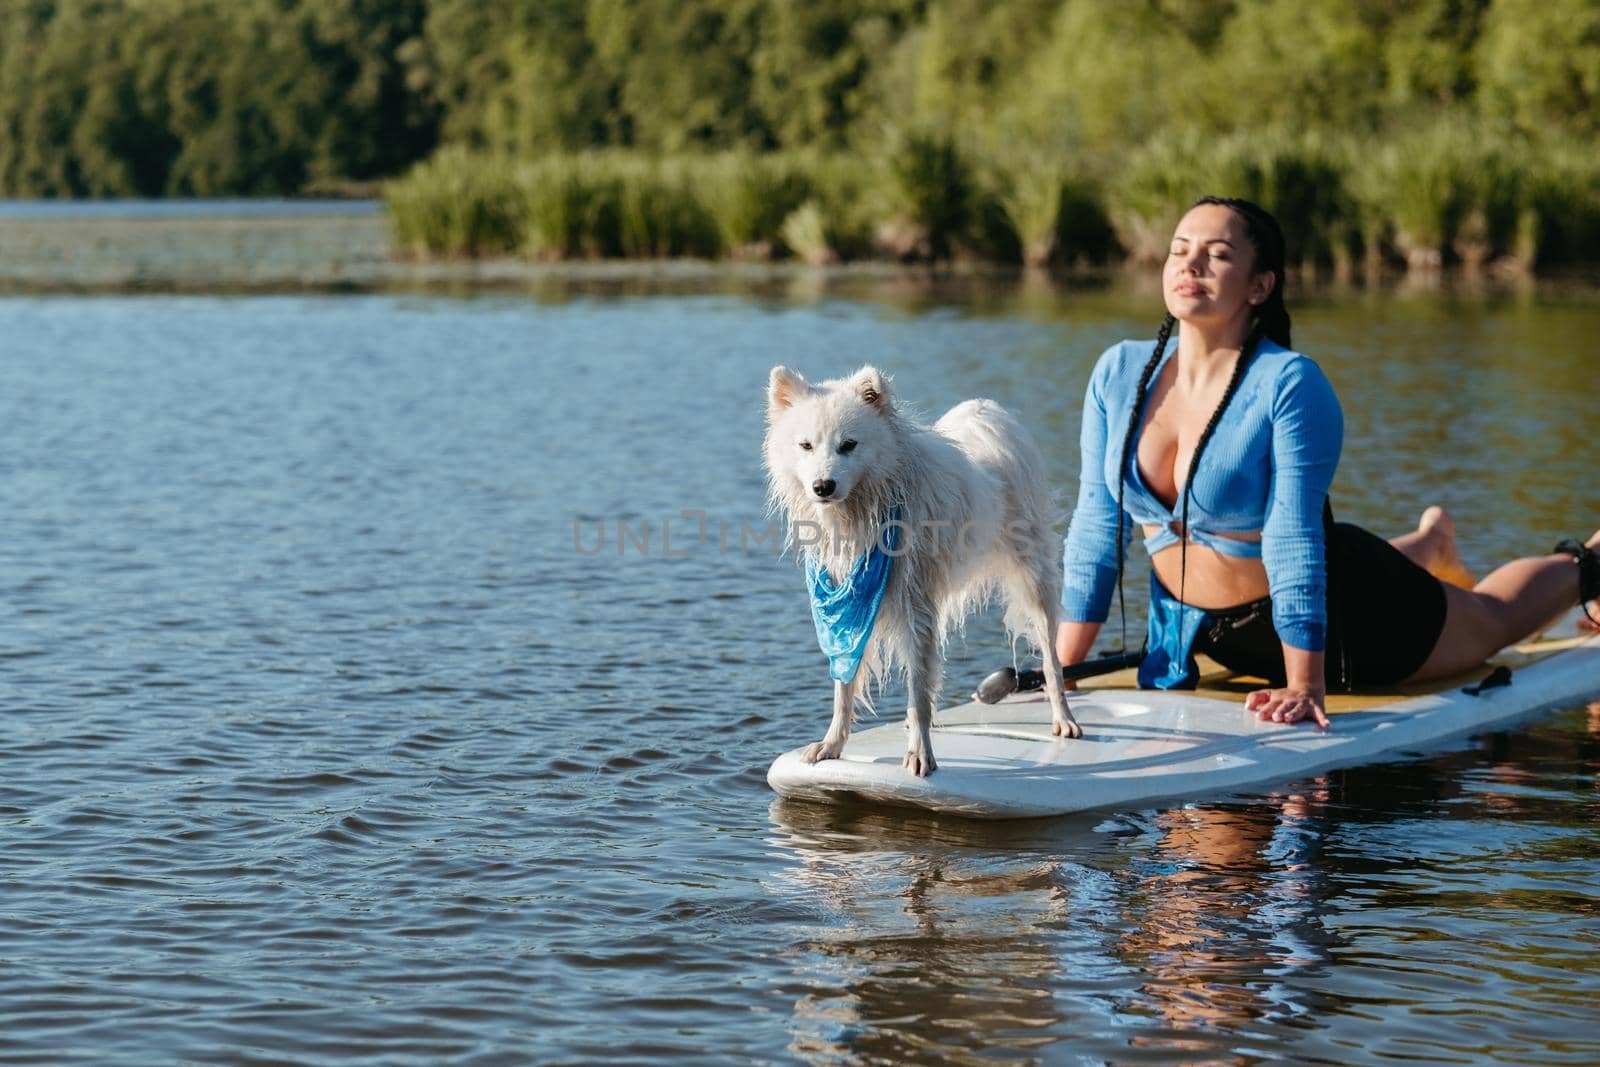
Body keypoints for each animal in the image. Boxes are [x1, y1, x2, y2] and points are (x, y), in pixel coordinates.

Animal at [758, 367, 1075, 777]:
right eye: (806, 446)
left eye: (849, 445)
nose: (822, 486)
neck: (865, 512)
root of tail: (992, 417)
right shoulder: (850, 610)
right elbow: (845, 688)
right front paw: (831, 745)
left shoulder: (914, 608)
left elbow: (918, 690)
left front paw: (921, 753)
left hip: (1034, 582)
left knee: (1052, 661)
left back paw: (1065, 719)